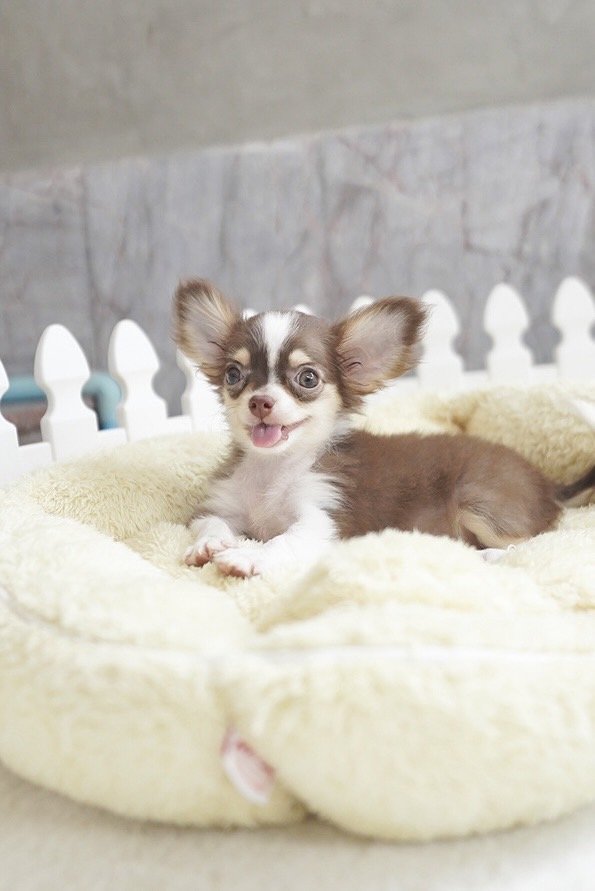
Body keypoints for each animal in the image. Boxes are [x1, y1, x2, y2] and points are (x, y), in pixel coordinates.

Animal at [173, 279, 595, 578]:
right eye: (233, 374)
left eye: (307, 378)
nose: (260, 402)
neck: (273, 469)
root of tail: (546, 482)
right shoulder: (221, 505)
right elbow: (210, 523)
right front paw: (210, 546)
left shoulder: (322, 519)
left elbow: (283, 540)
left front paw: (247, 556)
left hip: (479, 502)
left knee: (530, 542)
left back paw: (487, 555)